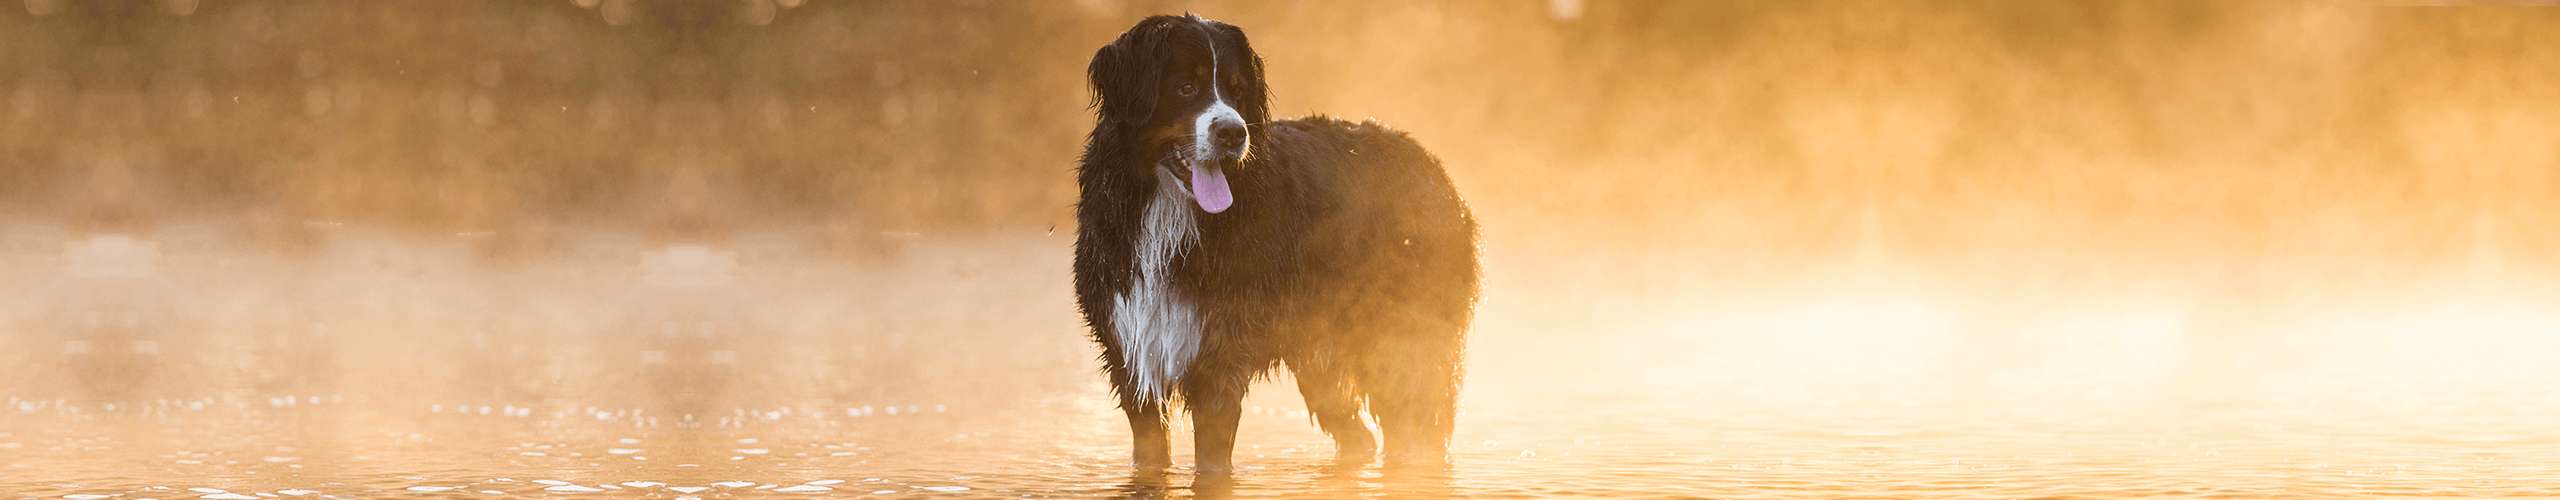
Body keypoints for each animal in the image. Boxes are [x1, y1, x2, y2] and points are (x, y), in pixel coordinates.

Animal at [1070, 14, 1484, 471]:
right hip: (1325, 353)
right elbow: (1150, 453)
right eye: (1186, 87)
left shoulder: (1219, 356)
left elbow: (1212, 460)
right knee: (1357, 434)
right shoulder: (1131, 353)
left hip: (1405, 342)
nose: (1232, 133)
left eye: (1238, 91)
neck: (1169, 212)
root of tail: (1431, 164)